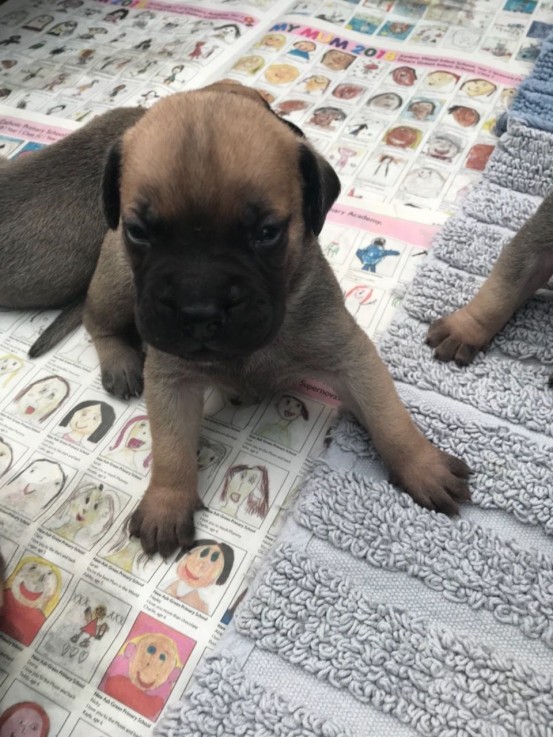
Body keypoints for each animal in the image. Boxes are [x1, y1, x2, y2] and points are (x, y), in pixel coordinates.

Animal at [83, 83, 470, 556]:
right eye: (138, 232)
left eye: (266, 234)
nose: (199, 310)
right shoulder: (172, 379)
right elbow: (172, 448)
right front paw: (166, 502)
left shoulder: (350, 359)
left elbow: (388, 417)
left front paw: (422, 464)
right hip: (119, 281)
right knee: (95, 319)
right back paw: (119, 361)